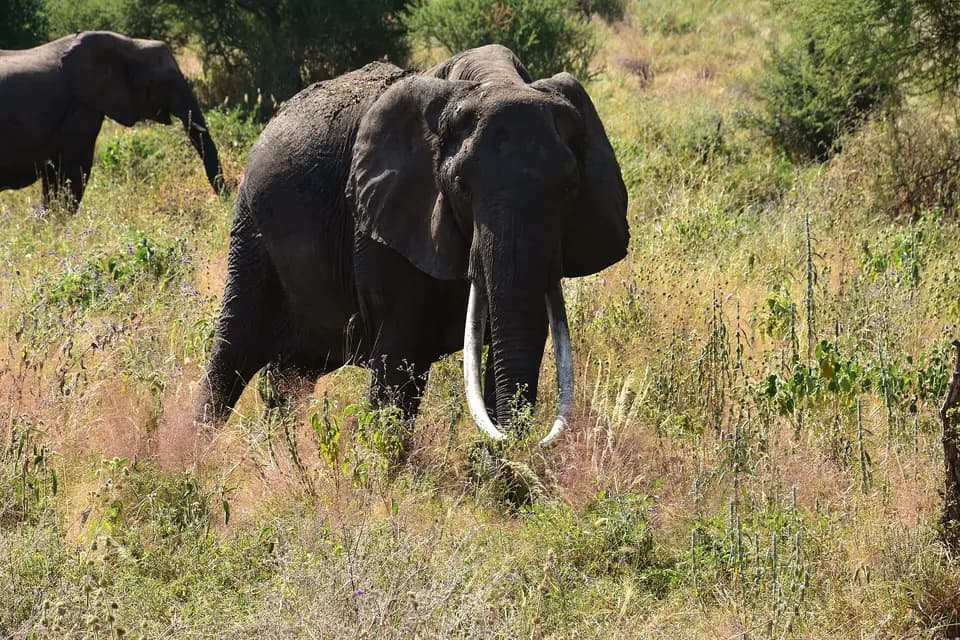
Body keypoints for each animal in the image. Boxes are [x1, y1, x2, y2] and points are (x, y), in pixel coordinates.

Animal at [0, 31, 225, 212]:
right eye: (163, 82)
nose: (225, 199)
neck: (128, 43)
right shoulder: (81, 107)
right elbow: (74, 170)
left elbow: (56, 173)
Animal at [197, 45, 628, 447]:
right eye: (461, 186)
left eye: (571, 186)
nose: (517, 444)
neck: (493, 79)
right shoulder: (385, 225)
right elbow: (399, 361)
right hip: (251, 229)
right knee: (231, 354)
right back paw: (196, 454)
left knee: (290, 373)